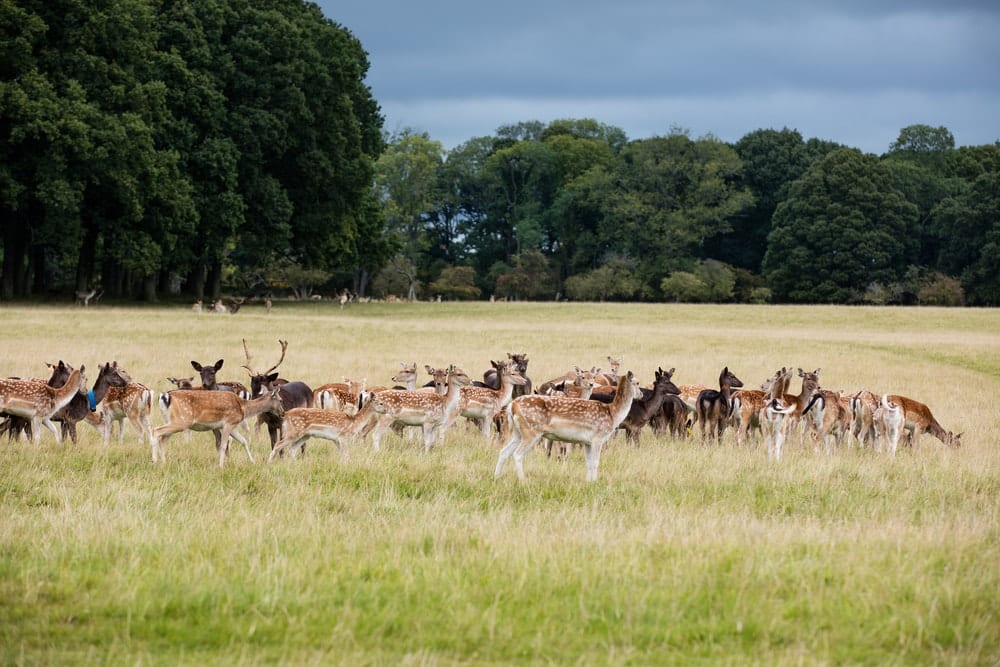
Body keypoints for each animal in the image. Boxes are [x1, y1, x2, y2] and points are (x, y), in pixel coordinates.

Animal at [492, 370, 640, 486]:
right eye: (637, 383)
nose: (642, 394)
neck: (612, 414)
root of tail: (512, 406)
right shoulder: (598, 437)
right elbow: (596, 462)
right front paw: (595, 482)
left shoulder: (587, 442)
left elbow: (588, 463)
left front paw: (589, 482)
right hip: (531, 432)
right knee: (517, 454)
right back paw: (524, 480)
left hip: (518, 433)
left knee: (504, 451)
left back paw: (497, 477)